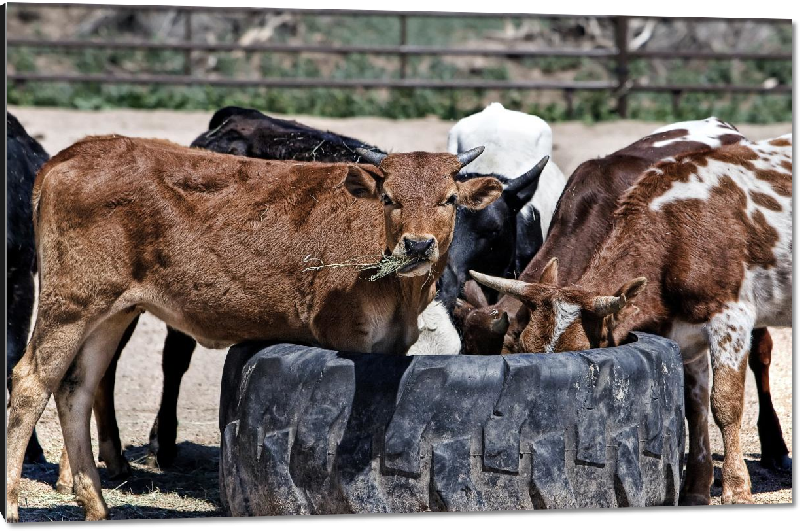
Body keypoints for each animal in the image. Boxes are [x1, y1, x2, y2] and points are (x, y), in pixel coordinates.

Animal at [6, 135, 504, 520]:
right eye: (389, 198)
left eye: (449, 200)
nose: (417, 245)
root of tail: (74, 154)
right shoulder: (346, 336)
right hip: (71, 303)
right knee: (31, 382)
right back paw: (14, 504)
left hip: (112, 311)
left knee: (77, 388)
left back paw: (96, 505)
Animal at [472, 134, 792, 508]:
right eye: (522, 345)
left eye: (582, 350)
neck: (674, 231)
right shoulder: (685, 335)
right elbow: (695, 406)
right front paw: (696, 488)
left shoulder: (731, 318)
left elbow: (725, 404)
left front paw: (736, 488)